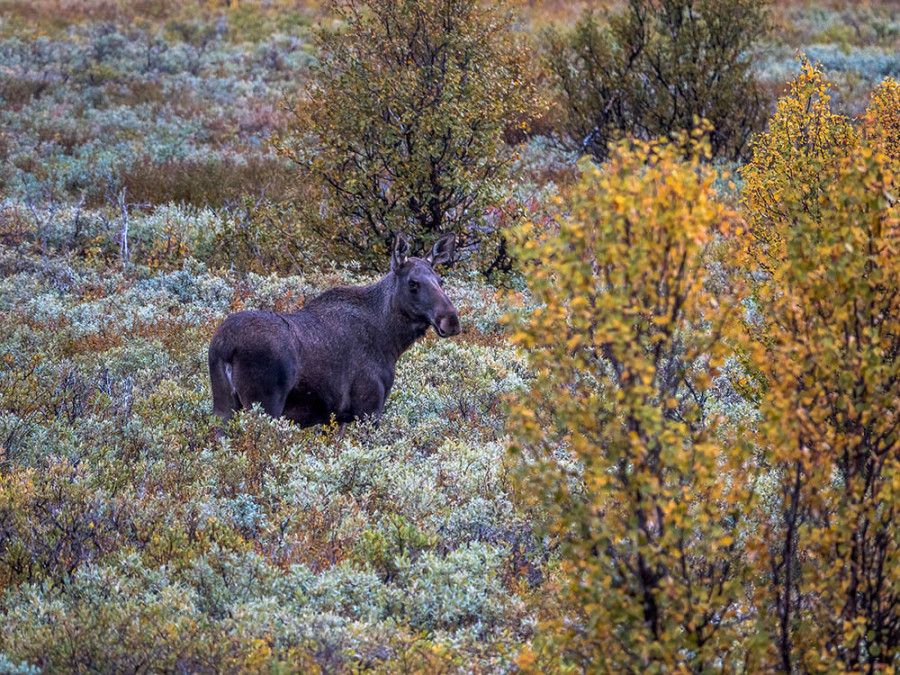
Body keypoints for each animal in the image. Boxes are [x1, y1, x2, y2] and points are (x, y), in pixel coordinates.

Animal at [208, 235, 460, 428]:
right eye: (413, 283)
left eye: (441, 280)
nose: (451, 320)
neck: (391, 342)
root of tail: (225, 345)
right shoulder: (369, 407)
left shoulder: (339, 418)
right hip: (264, 405)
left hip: (223, 405)